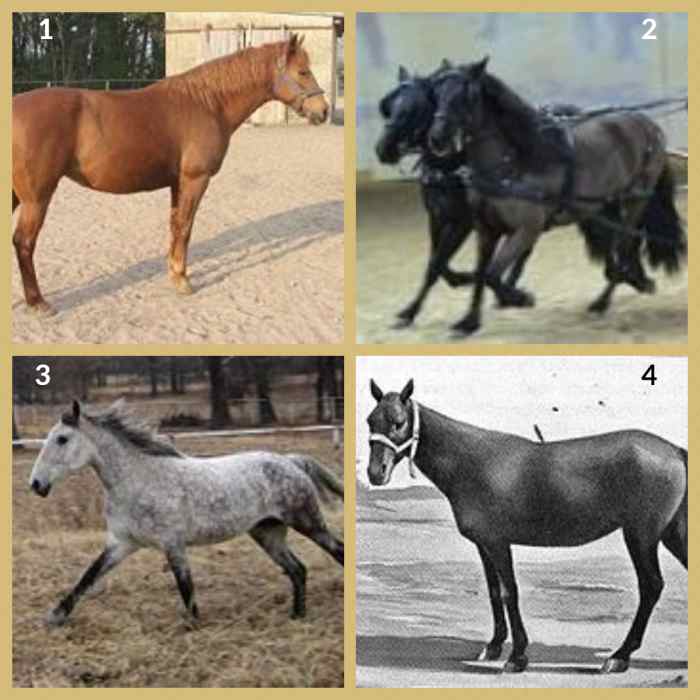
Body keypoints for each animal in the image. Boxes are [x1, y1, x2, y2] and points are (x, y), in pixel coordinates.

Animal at [12, 34, 328, 315]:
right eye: (303, 71)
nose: (323, 111)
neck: (208, 103)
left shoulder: (178, 183)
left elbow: (175, 225)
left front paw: (174, 273)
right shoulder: (195, 179)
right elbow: (186, 228)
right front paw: (183, 280)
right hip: (36, 198)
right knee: (24, 243)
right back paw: (37, 302)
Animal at [28, 399, 344, 625]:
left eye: (62, 439)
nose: (36, 484)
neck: (140, 480)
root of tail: (291, 461)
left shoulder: (173, 544)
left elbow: (186, 588)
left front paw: (193, 625)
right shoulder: (121, 543)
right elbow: (89, 575)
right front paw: (55, 616)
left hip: (307, 522)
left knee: (336, 550)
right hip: (267, 533)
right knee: (297, 569)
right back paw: (297, 615)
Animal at [365, 379, 687, 674]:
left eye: (398, 422)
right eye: (370, 420)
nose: (375, 473)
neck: (472, 461)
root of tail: (675, 451)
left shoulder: (498, 542)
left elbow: (510, 592)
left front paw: (517, 656)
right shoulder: (484, 544)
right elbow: (494, 591)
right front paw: (494, 646)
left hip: (641, 535)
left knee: (651, 586)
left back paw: (619, 656)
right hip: (671, 533)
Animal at [427, 57, 685, 334]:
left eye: (466, 95)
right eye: (437, 94)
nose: (437, 137)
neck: (515, 162)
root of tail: (651, 126)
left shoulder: (527, 229)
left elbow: (492, 275)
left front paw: (521, 298)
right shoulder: (486, 230)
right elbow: (481, 276)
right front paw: (469, 322)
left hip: (635, 198)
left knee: (625, 244)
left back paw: (603, 301)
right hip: (606, 204)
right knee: (624, 244)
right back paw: (635, 281)